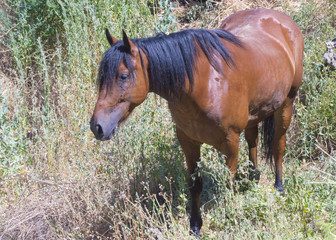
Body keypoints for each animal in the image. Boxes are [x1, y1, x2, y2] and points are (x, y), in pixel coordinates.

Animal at [90, 8, 304, 234]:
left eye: (123, 76)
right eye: (102, 77)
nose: (97, 127)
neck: (205, 83)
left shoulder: (230, 141)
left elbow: (227, 183)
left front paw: (229, 217)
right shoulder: (188, 141)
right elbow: (195, 184)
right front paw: (195, 226)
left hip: (287, 103)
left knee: (278, 144)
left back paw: (278, 186)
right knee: (253, 139)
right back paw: (252, 177)